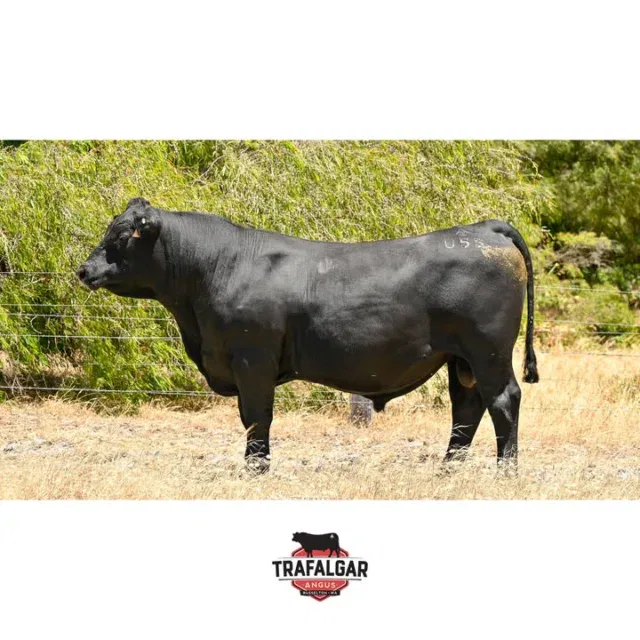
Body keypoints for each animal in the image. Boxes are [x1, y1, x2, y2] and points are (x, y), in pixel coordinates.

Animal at [77, 197, 539, 473]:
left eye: (121, 235)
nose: (84, 270)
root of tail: (484, 227)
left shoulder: (252, 359)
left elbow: (256, 417)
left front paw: (256, 469)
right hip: (461, 359)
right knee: (467, 409)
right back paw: (447, 471)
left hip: (489, 351)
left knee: (502, 401)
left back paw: (506, 471)